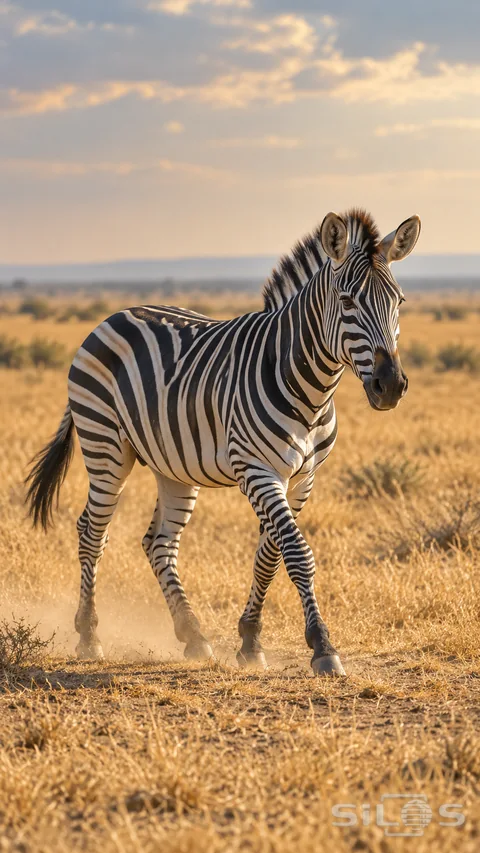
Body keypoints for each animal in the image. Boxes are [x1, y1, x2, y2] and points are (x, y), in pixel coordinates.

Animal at [25, 209, 421, 676]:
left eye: (399, 302)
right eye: (346, 303)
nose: (390, 386)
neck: (309, 386)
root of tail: (115, 315)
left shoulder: (303, 478)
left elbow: (270, 555)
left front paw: (250, 640)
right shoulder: (256, 468)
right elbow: (296, 552)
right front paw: (322, 646)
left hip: (172, 466)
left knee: (158, 542)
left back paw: (192, 634)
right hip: (105, 446)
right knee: (91, 531)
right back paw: (89, 635)